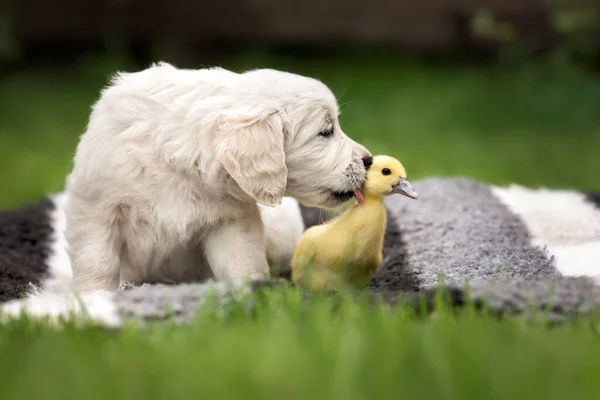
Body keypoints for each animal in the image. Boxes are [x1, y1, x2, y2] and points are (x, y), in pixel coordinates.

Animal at [68, 63, 372, 294]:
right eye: (326, 131)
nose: (369, 161)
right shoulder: (96, 209)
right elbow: (99, 262)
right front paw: (95, 299)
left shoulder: (231, 221)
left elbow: (242, 263)